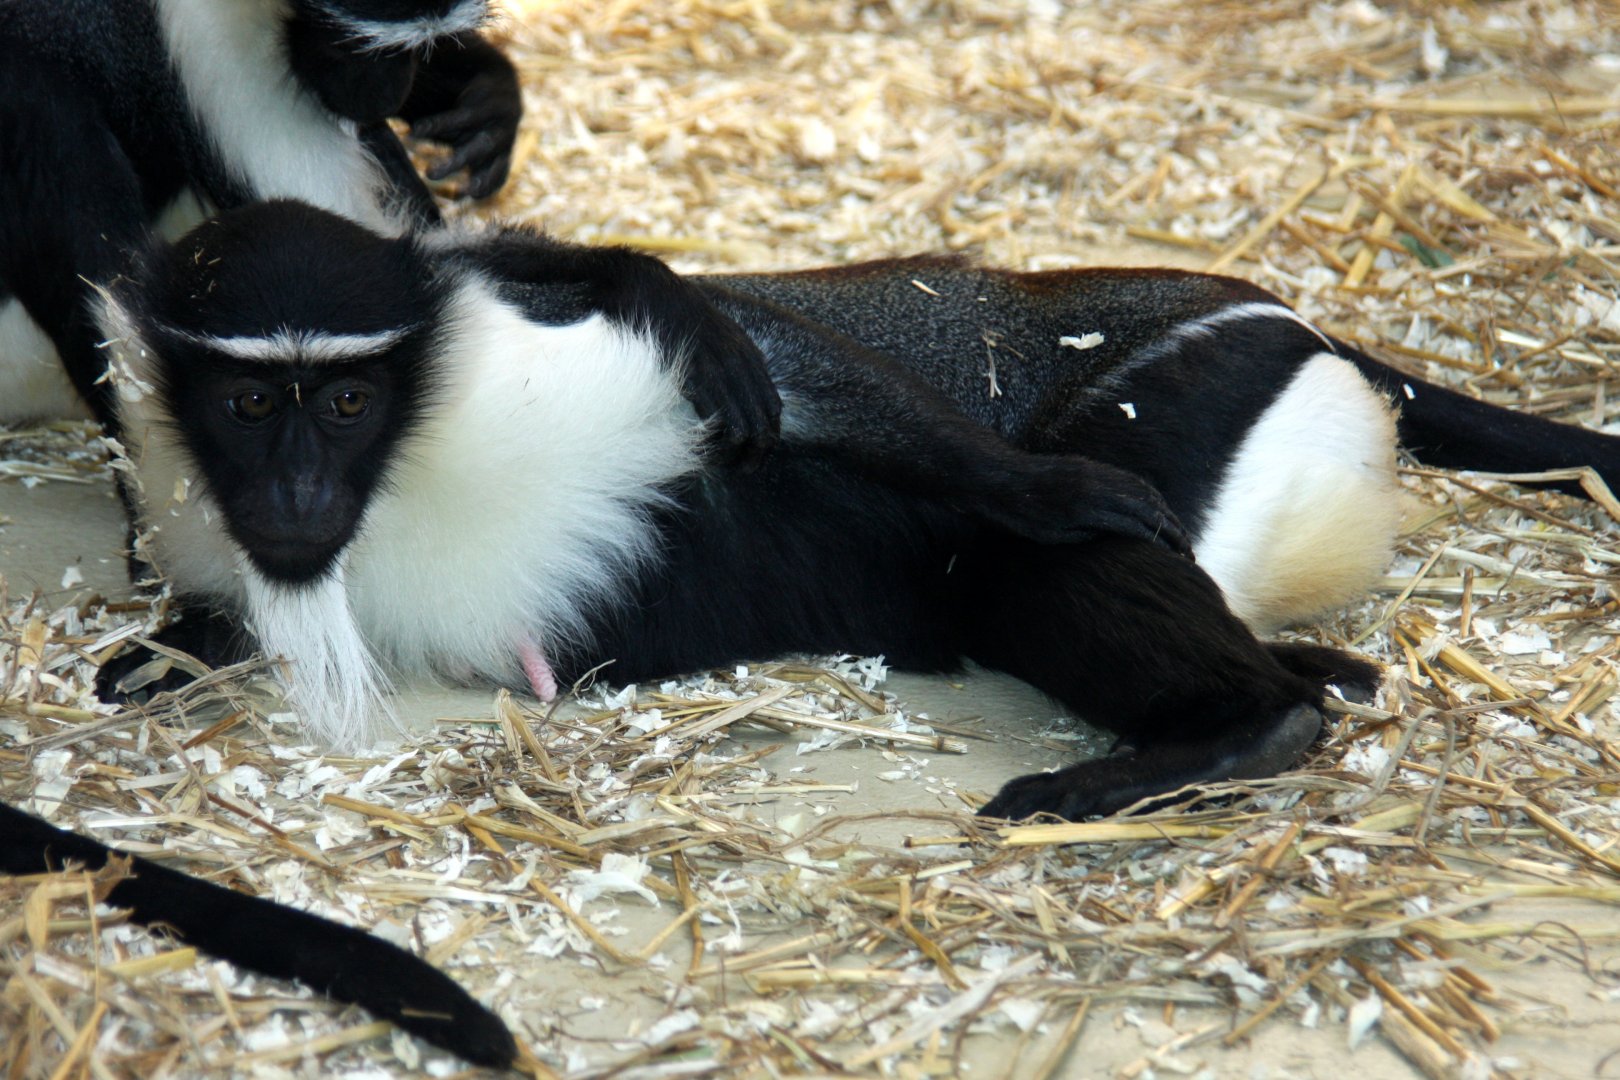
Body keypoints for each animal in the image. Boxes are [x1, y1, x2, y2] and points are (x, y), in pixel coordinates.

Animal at [0, 1, 782, 462]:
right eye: (362, 52)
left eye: (409, 54)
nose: (394, 84)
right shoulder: (208, 33)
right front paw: (645, 285)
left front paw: (483, 92)